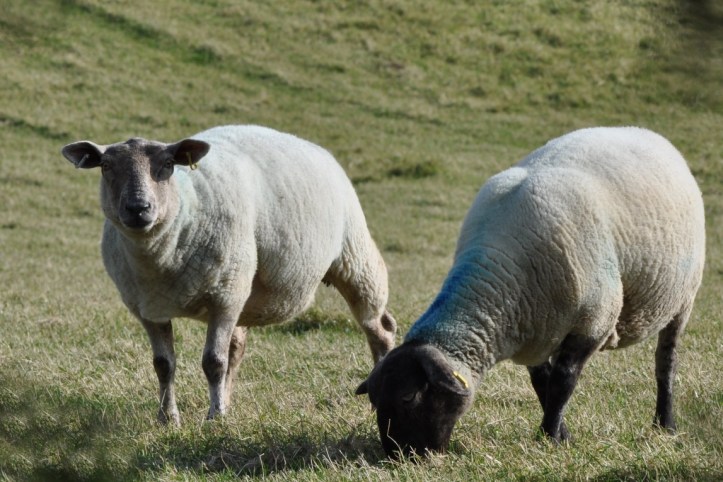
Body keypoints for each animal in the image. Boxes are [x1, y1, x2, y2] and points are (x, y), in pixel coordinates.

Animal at [61, 124, 396, 425]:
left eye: (168, 164)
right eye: (105, 166)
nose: (138, 208)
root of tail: (319, 149)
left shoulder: (224, 298)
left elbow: (213, 362)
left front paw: (214, 418)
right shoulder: (149, 309)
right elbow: (163, 365)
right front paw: (168, 418)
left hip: (355, 259)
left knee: (379, 330)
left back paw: (377, 398)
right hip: (244, 286)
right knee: (236, 349)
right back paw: (227, 399)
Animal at [356, 127, 705, 458]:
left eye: (409, 397)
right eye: (374, 400)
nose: (399, 456)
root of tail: (649, 134)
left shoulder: (593, 322)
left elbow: (563, 382)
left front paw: (549, 437)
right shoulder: (534, 328)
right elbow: (543, 384)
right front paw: (561, 434)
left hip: (684, 299)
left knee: (666, 362)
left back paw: (665, 423)